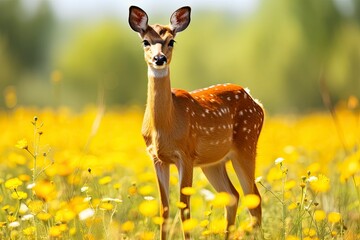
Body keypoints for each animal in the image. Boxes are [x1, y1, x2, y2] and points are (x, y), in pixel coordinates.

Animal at [129, 5, 264, 240]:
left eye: (171, 41)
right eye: (145, 41)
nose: (159, 59)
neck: (165, 126)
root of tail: (255, 100)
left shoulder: (186, 155)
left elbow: (184, 208)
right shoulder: (157, 158)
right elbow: (164, 209)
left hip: (246, 145)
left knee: (254, 200)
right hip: (214, 162)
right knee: (233, 195)